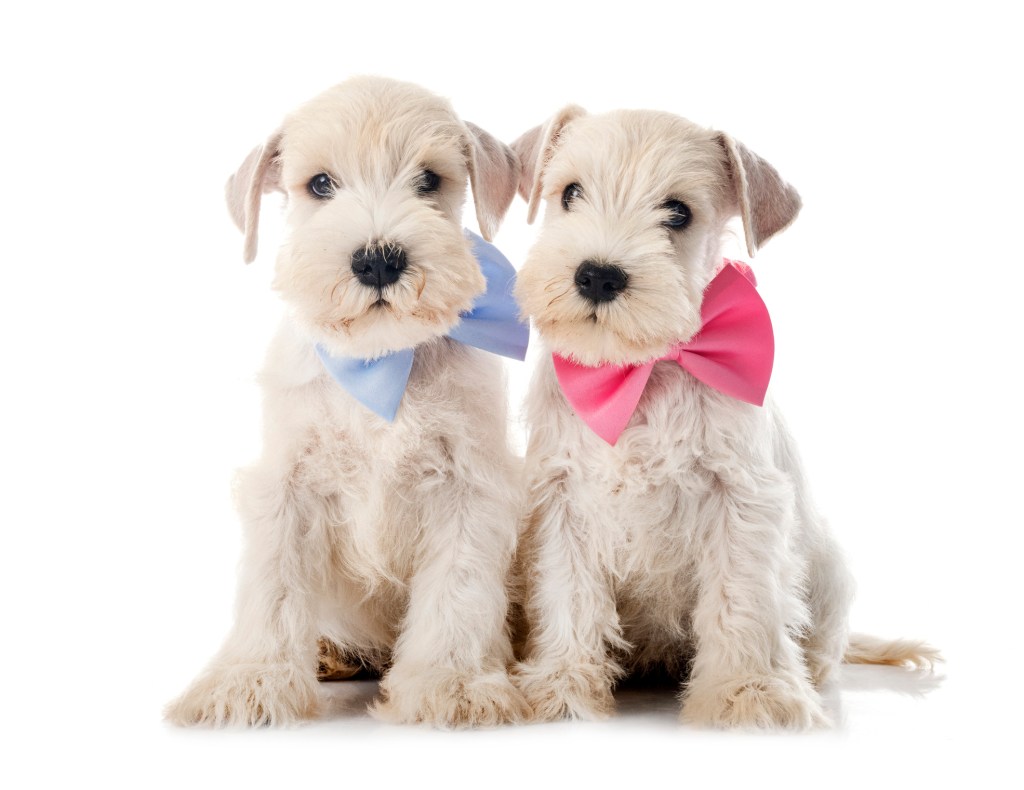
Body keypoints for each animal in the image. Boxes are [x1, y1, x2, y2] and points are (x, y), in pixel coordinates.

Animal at [163, 77, 532, 725]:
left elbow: (458, 590)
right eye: (319, 185)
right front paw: (250, 680)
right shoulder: (288, 486)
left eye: (429, 179)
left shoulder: (469, 488)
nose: (379, 259)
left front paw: (453, 683)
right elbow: (273, 586)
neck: (379, 359)